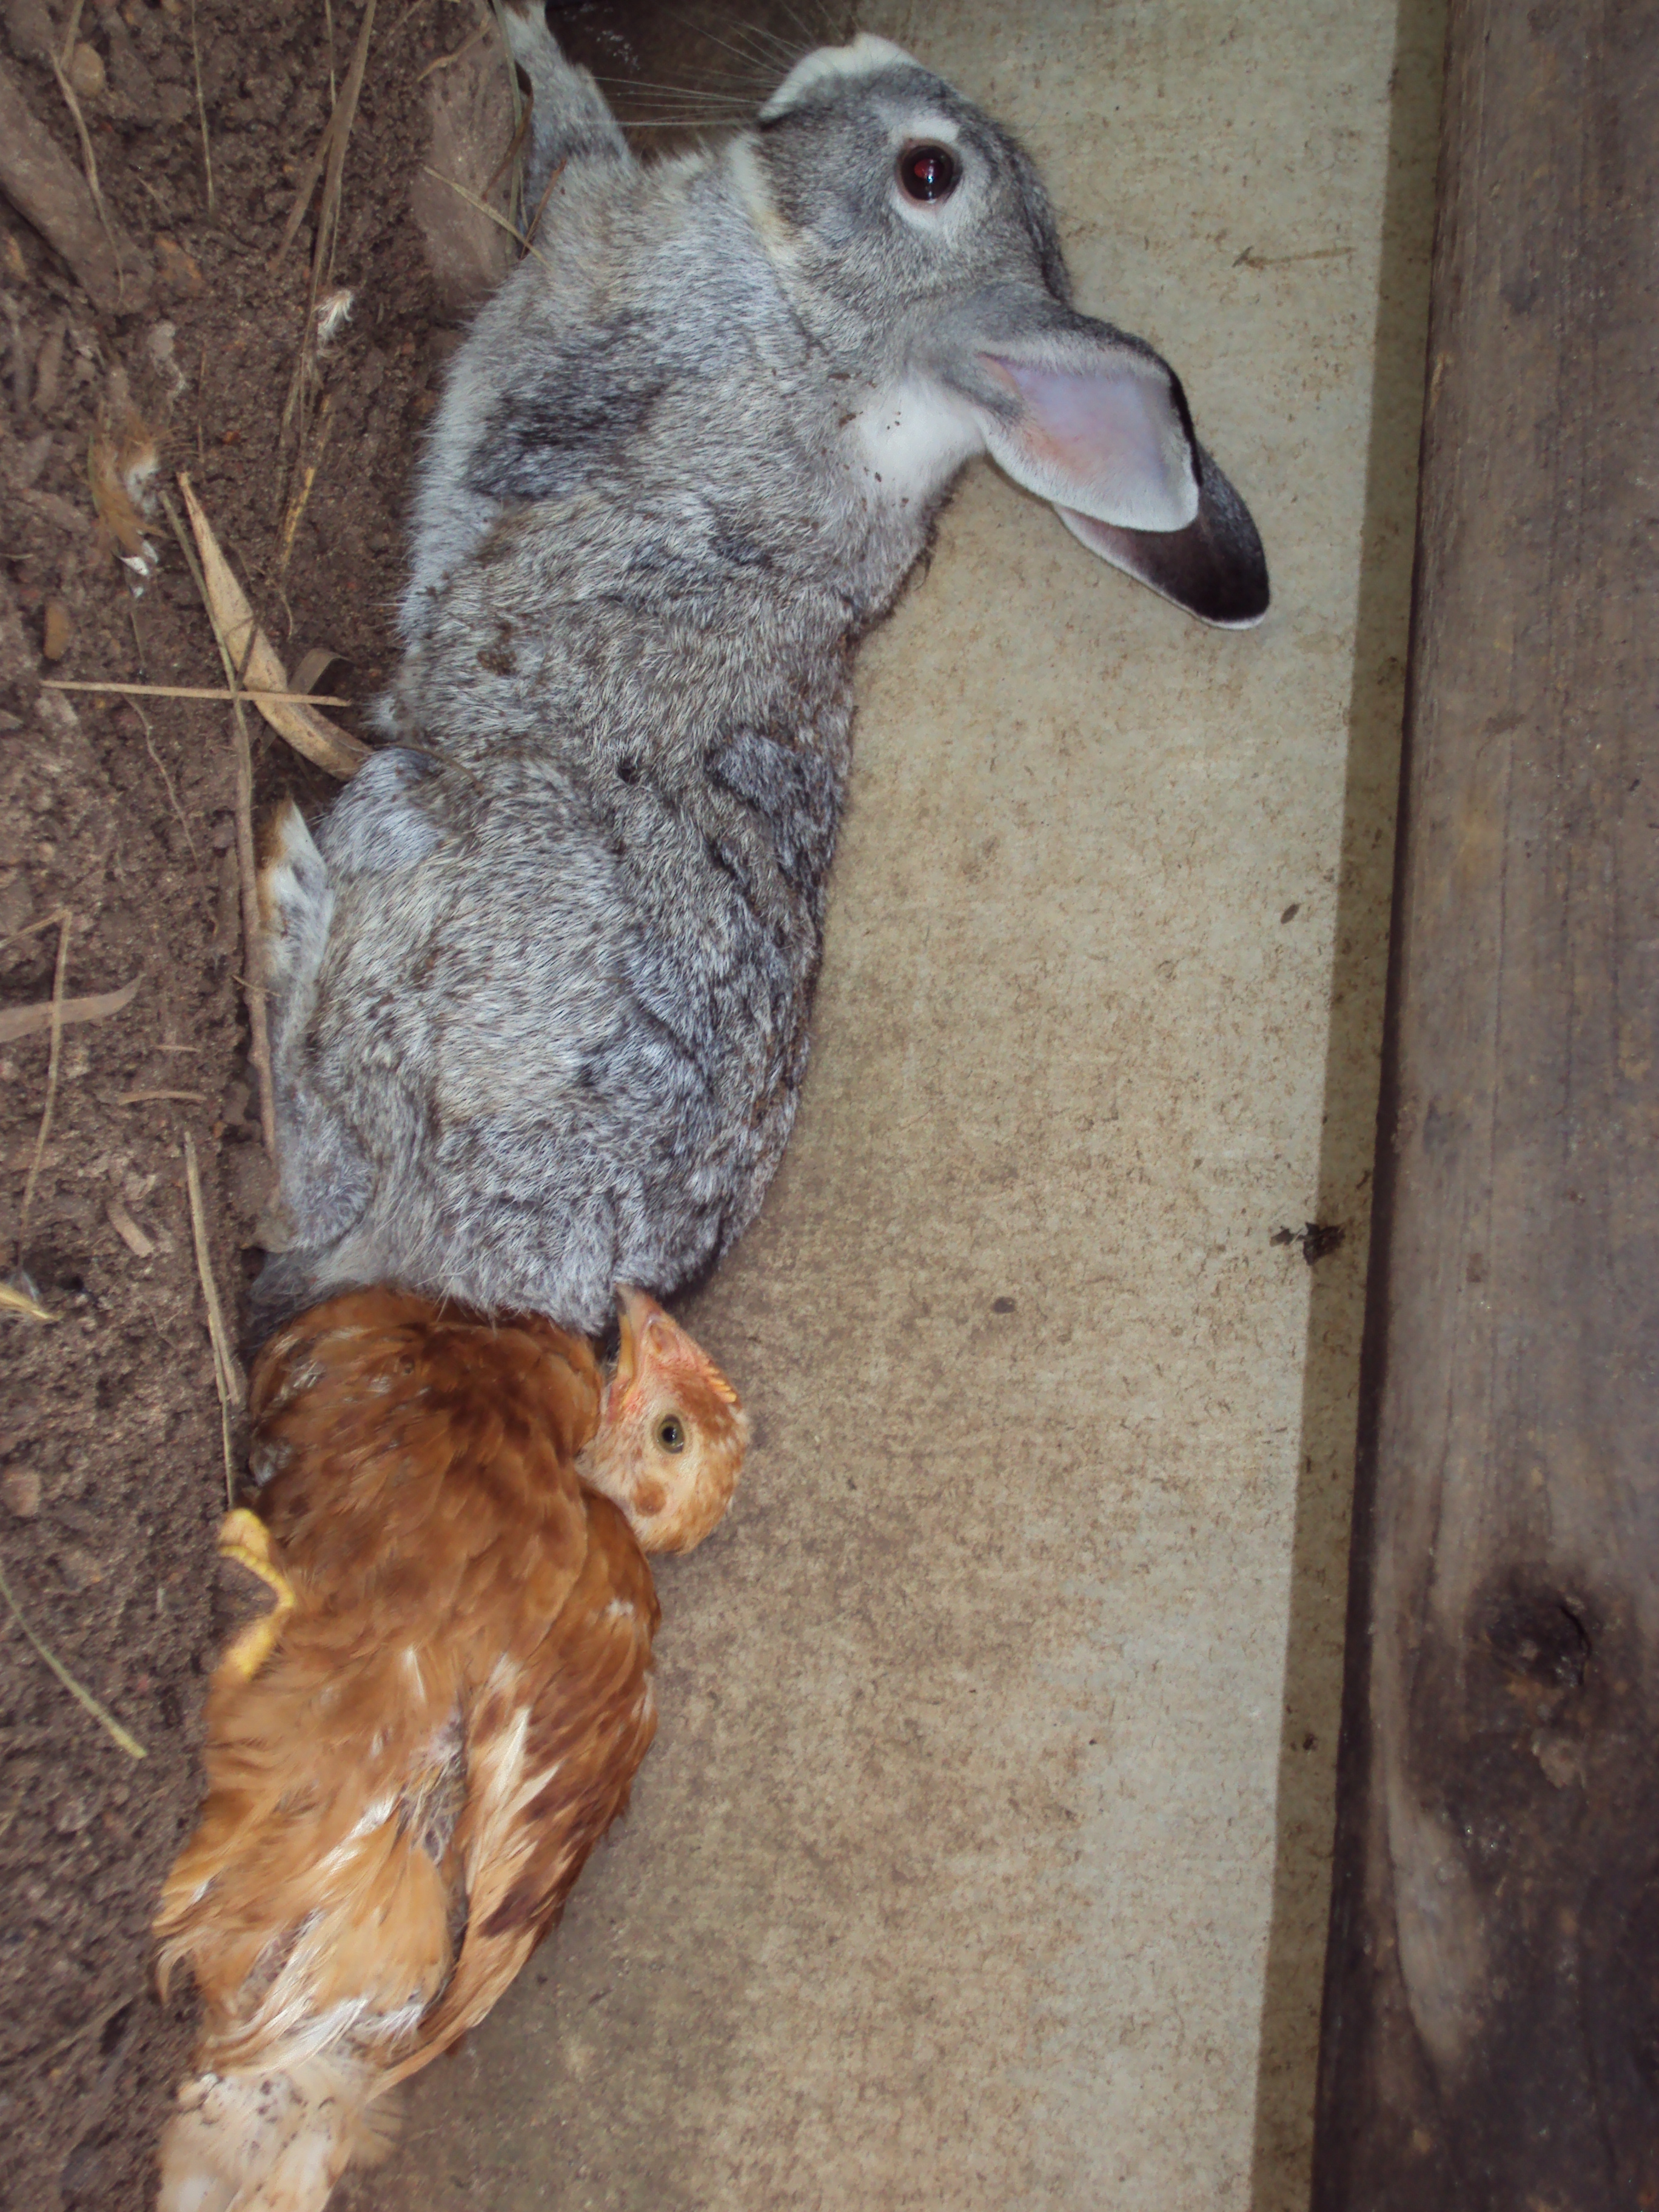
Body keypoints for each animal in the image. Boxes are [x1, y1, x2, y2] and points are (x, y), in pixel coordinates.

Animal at [253, 11, 1269, 1340]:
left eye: (928, 173)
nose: (855, 47)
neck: (841, 335)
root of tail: (475, 1267)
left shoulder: (592, 248)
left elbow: (571, 147)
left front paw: (525, 30)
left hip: (408, 829)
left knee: (306, 1188)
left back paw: (283, 890)